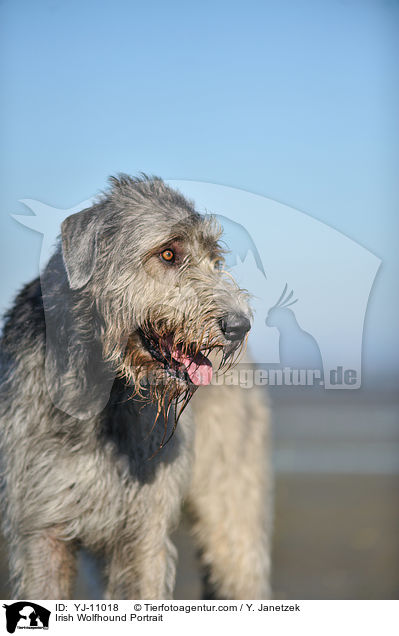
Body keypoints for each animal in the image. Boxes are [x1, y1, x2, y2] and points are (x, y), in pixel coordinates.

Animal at [0, 175, 272, 600]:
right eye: (168, 253)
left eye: (215, 258)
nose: (239, 326)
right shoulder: (40, 528)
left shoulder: (143, 532)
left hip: (233, 494)